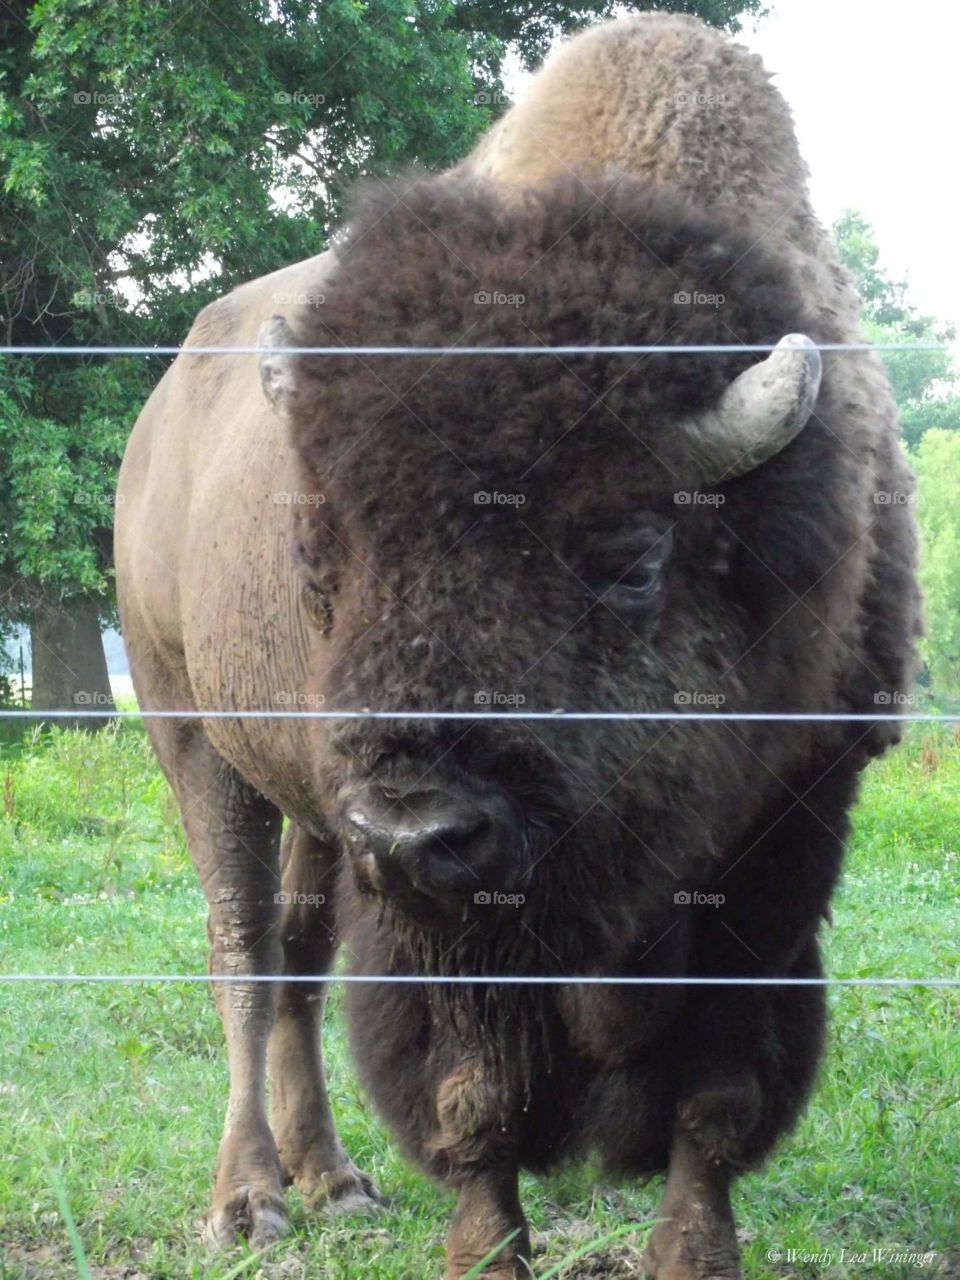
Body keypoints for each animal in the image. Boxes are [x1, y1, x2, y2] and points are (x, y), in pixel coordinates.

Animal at [115, 14, 920, 1279]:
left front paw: (693, 1251)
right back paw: (248, 1200)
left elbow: (720, 1092)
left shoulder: (793, 827)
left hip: (310, 801)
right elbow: (473, 1087)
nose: (413, 826)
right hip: (193, 733)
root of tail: (160, 412)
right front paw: (487, 1248)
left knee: (297, 948)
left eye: (632, 559)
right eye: (319, 569)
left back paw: (334, 1180)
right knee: (243, 949)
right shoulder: (443, 919)